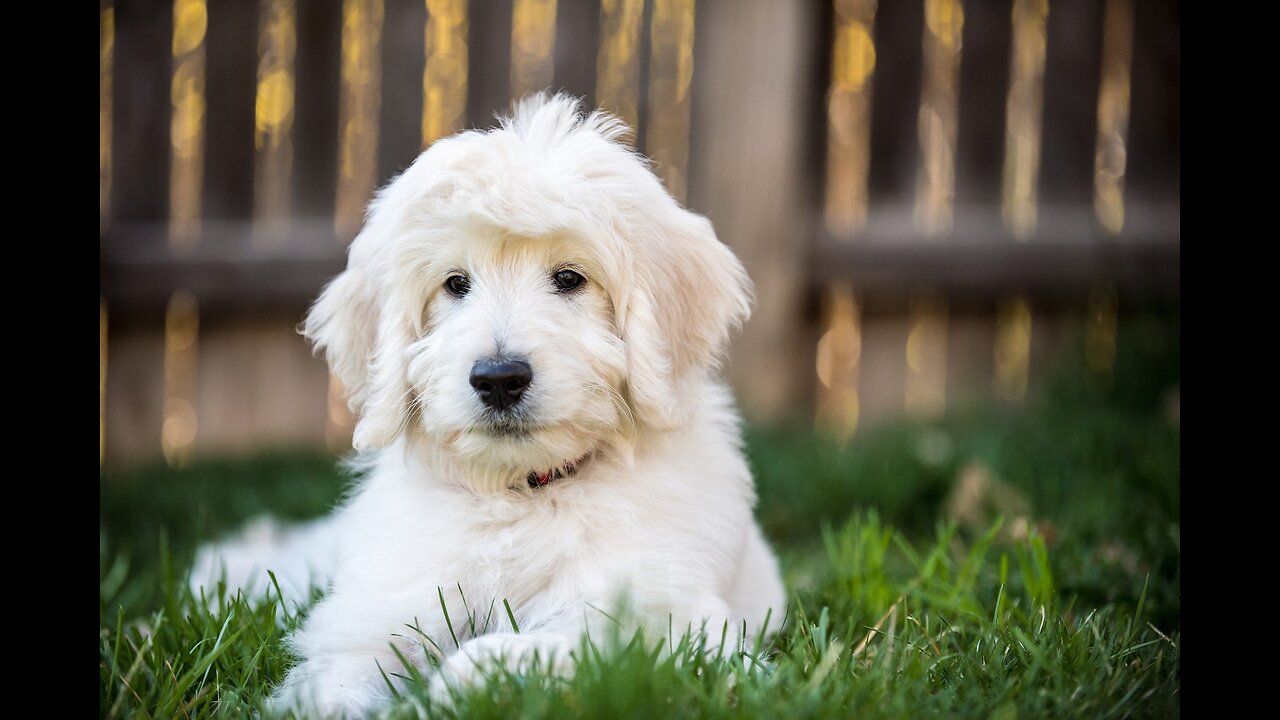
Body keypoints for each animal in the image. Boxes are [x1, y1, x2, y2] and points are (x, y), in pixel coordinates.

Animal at [189, 94, 783, 712]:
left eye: (569, 278)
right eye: (456, 284)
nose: (499, 379)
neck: (519, 495)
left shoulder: (661, 618)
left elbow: (536, 648)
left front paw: (448, 690)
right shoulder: (384, 606)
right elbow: (343, 675)